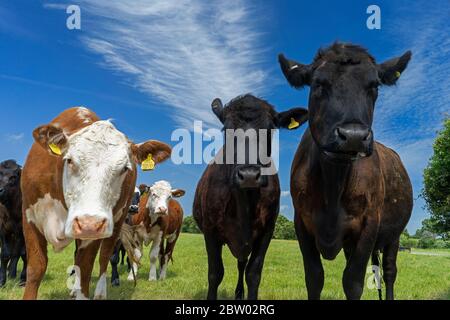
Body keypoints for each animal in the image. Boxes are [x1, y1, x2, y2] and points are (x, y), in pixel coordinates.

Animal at [19, 107, 171, 300]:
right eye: (69, 160)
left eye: (124, 168)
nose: (89, 224)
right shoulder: (28, 216)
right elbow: (36, 267)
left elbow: (85, 267)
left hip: (115, 223)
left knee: (105, 257)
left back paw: (100, 292)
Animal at [280, 43, 414, 300]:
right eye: (318, 83)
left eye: (374, 86)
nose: (353, 136)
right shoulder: (301, 222)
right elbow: (314, 278)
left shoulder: (370, 223)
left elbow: (353, 282)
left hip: (394, 235)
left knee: (389, 271)